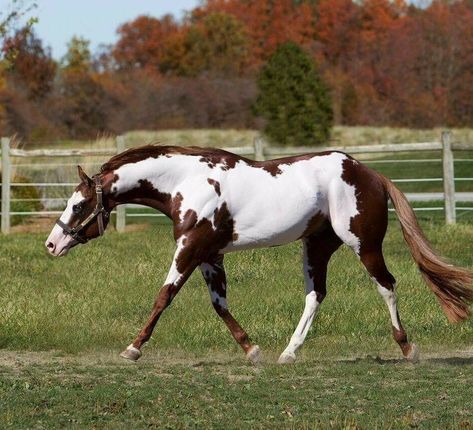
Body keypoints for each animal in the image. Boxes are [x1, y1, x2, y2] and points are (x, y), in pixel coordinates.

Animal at [46, 146, 472, 364]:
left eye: (80, 205)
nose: (52, 244)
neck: (187, 181)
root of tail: (369, 173)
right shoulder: (210, 255)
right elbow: (219, 304)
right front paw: (251, 350)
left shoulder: (190, 249)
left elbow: (164, 296)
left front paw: (133, 348)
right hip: (316, 246)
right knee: (316, 294)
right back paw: (288, 353)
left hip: (362, 245)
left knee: (386, 285)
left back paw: (407, 347)